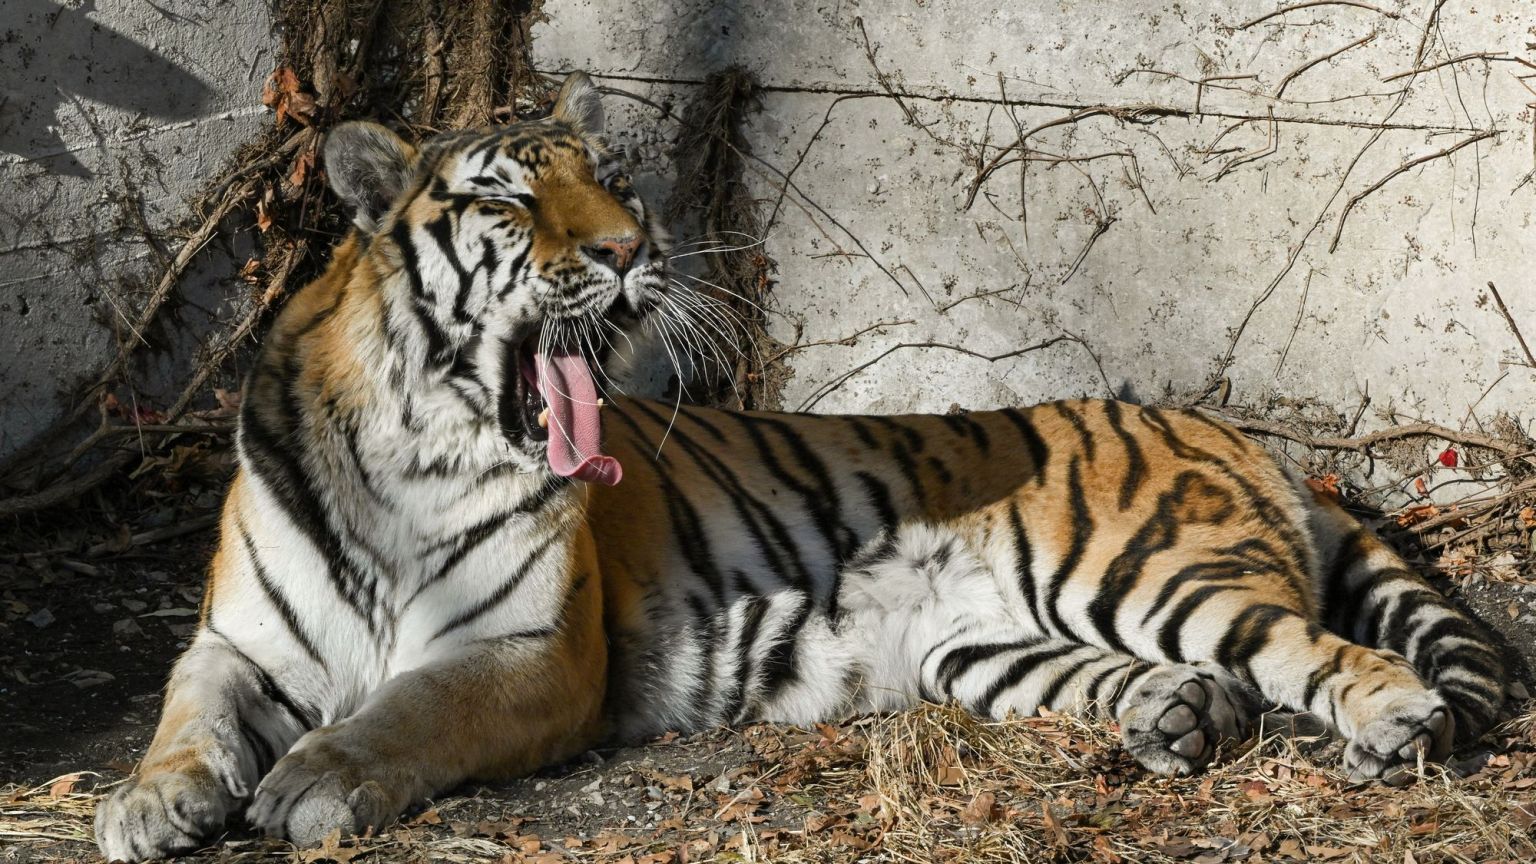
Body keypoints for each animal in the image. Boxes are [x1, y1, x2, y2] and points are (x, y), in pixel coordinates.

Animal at [95, 72, 1506, 862]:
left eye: (614, 185)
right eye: (507, 203)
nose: (631, 249)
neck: (411, 440)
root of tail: (1233, 433)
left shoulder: (526, 652)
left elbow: (403, 711)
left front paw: (312, 784)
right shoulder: (237, 641)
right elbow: (183, 717)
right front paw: (145, 806)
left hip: (1154, 575)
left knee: (1315, 651)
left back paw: (1393, 725)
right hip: (981, 648)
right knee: (1186, 683)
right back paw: (1177, 719)